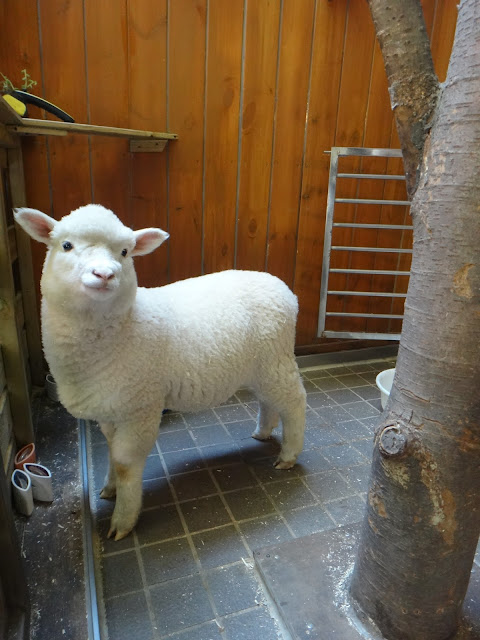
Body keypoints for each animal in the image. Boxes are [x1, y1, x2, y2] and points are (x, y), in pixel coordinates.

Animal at [14, 204, 306, 540]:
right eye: (66, 245)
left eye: (125, 252)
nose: (104, 274)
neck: (124, 327)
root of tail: (281, 287)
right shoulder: (110, 410)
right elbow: (111, 451)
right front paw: (110, 489)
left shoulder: (140, 408)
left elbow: (125, 463)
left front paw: (123, 521)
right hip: (260, 367)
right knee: (268, 400)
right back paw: (263, 431)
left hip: (276, 360)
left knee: (294, 401)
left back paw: (288, 455)